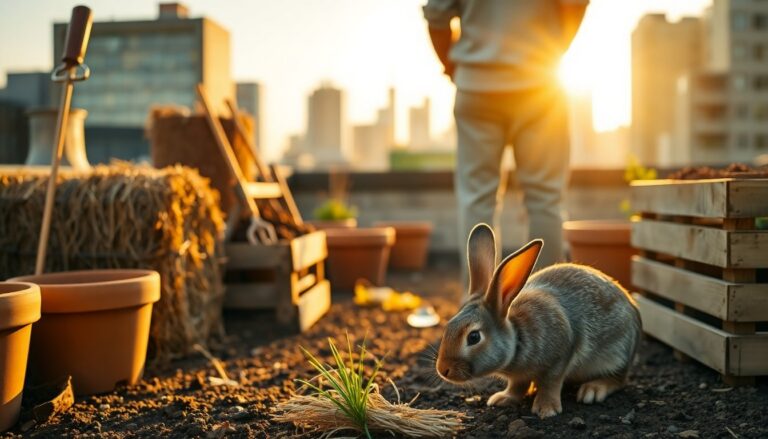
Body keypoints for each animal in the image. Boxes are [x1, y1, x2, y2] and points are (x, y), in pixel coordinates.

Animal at [436, 223, 641, 418]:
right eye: (448, 326)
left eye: (474, 337)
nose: (442, 369)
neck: (518, 337)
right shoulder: (518, 377)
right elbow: (517, 385)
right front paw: (503, 399)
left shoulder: (561, 354)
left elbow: (551, 382)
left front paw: (546, 408)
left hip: (618, 353)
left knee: (618, 379)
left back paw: (593, 389)